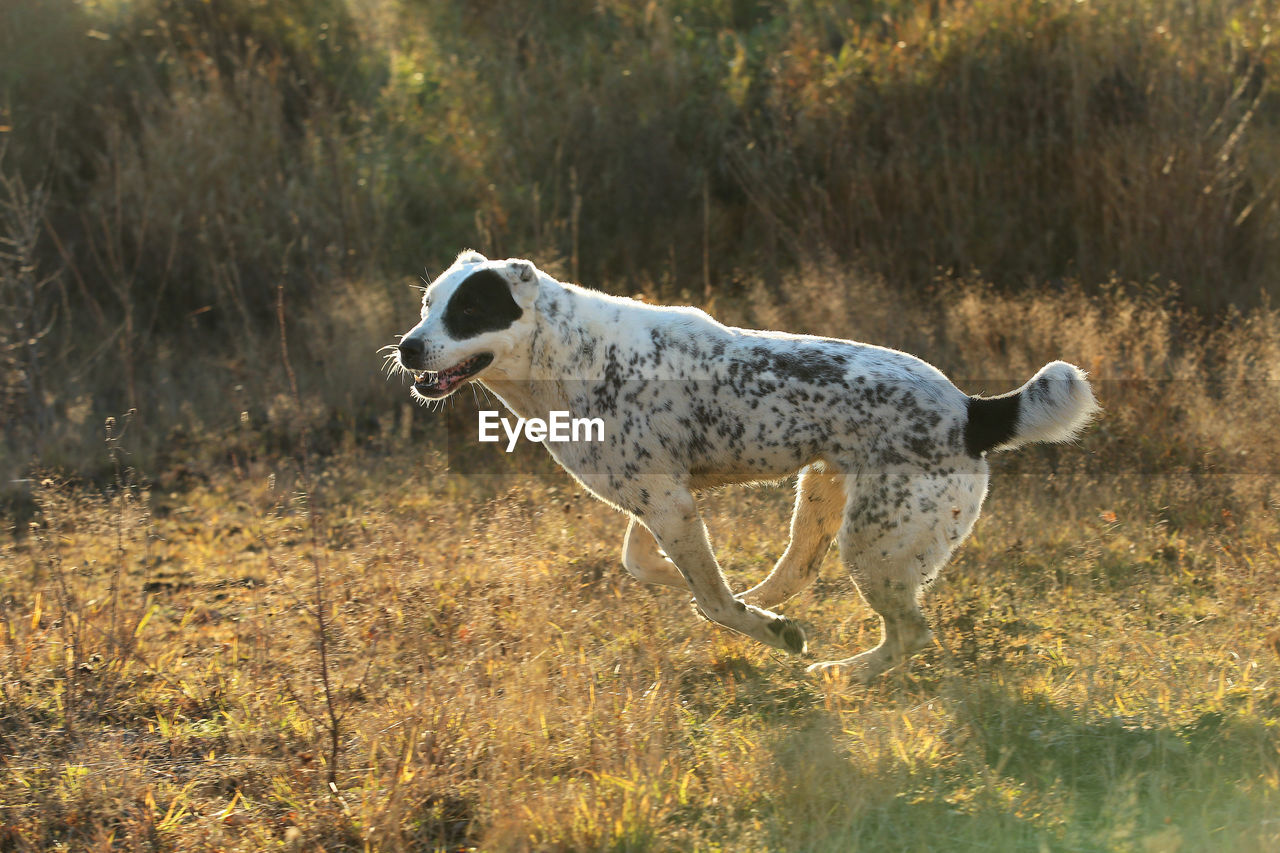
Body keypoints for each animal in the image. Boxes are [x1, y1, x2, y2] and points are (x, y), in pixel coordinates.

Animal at [391, 249, 1100, 681]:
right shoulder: (662, 501)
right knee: (799, 570)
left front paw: (767, 629)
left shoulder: (669, 504)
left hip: (873, 544)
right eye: (427, 304)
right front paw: (725, 599)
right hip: (821, 497)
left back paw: (838, 672)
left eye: (468, 310)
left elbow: (708, 594)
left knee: (912, 634)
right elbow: (651, 566)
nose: (407, 347)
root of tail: (972, 410)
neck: (567, 353)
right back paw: (773, 604)